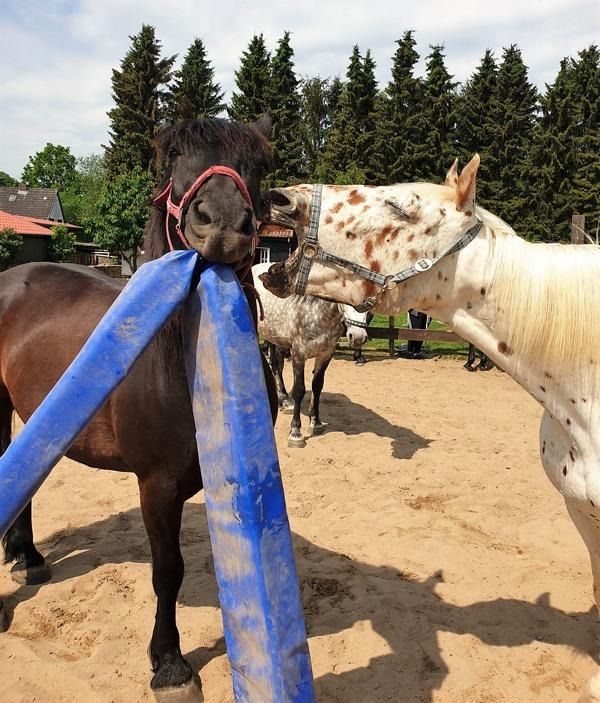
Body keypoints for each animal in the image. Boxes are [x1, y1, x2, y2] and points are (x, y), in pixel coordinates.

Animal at [0, 117, 278, 699]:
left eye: (260, 163)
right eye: (173, 155)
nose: (222, 223)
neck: (171, 363)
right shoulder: (157, 485)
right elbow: (167, 570)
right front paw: (169, 663)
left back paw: (28, 556)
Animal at [252, 262, 368, 447]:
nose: (357, 337)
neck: (316, 312)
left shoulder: (326, 354)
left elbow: (317, 386)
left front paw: (316, 422)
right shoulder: (298, 354)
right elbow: (299, 390)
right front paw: (296, 432)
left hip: (275, 338)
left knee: (277, 366)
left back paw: (284, 400)